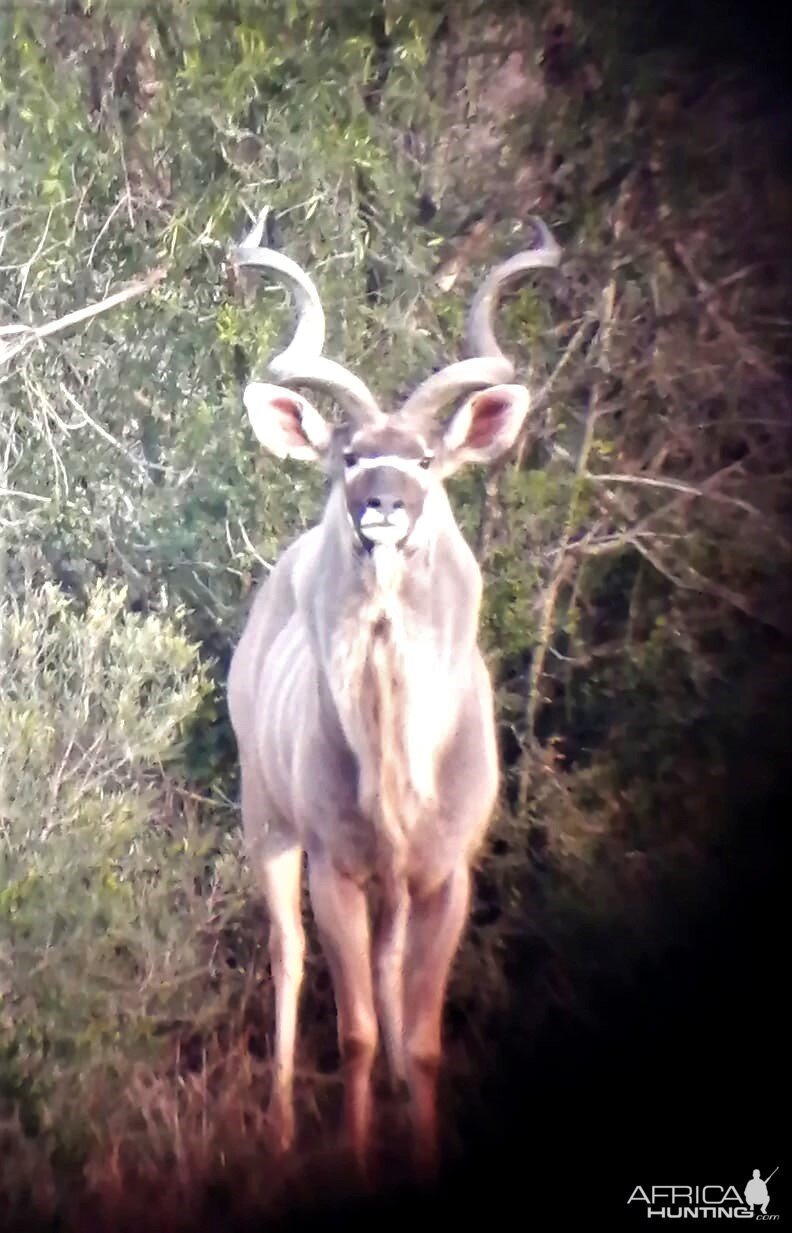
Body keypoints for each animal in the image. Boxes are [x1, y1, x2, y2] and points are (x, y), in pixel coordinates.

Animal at [226, 209, 562, 1173]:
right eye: (349, 454)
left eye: (425, 457)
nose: (381, 504)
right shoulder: (337, 867)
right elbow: (360, 1034)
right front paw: (355, 1156)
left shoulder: (445, 874)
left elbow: (420, 1039)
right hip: (268, 826)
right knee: (289, 956)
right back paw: (280, 1124)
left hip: (393, 894)